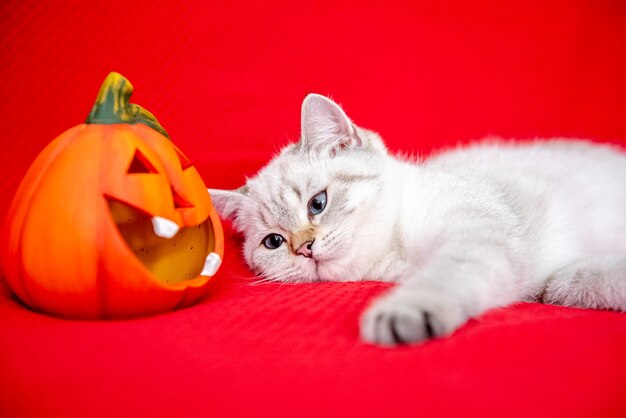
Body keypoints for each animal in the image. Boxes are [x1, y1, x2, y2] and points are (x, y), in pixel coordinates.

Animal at [210, 94, 624, 346]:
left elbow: (449, 275)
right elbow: (568, 283)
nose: (304, 248)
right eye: (274, 242)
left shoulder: (481, 235)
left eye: (318, 203)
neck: (399, 250)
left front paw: (405, 311)